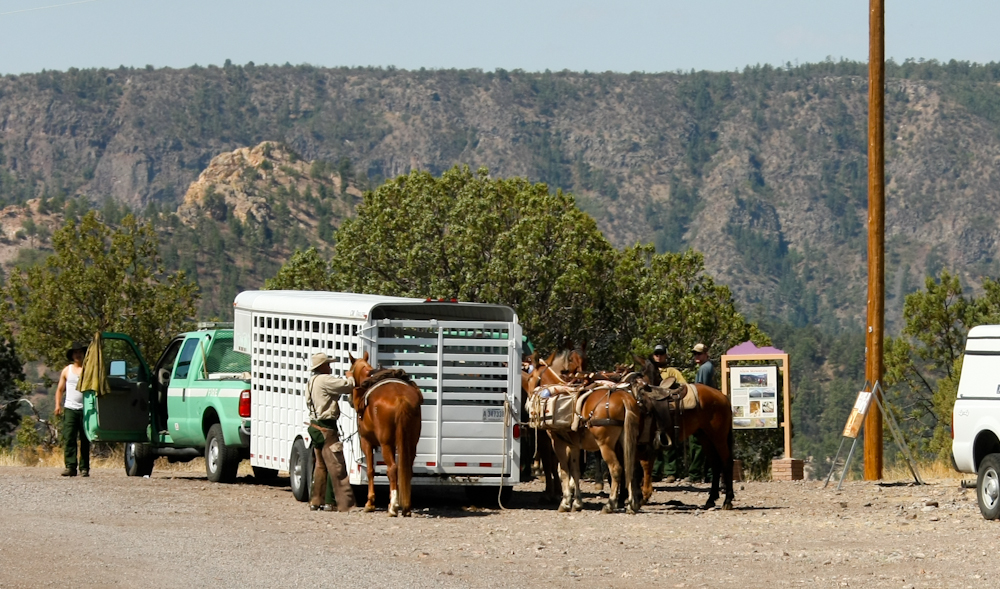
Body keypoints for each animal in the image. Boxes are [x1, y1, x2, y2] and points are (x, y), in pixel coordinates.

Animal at [347, 351, 423, 517]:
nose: (349, 399)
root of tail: (401, 399)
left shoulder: (366, 442)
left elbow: (370, 470)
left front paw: (370, 503)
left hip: (385, 444)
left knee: (393, 469)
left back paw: (393, 506)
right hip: (411, 443)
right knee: (406, 470)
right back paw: (405, 506)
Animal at [532, 364, 641, 514]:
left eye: (530, 376)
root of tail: (624, 398)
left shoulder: (558, 443)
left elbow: (564, 471)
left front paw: (565, 503)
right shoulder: (574, 446)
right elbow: (575, 471)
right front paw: (577, 503)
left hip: (605, 445)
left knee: (616, 469)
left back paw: (610, 504)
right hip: (627, 441)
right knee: (630, 467)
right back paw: (632, 504)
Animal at [636, 358, 735, 510]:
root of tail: (723, 397)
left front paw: (642, 496)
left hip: (719, 437)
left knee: (726, 461)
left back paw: (727, 500)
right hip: (705, 437)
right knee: (715, 463)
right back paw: (711, 499)